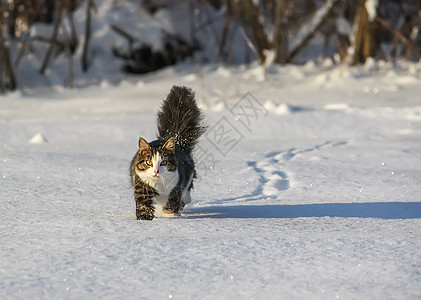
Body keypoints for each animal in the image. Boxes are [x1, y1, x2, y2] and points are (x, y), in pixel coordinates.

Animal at [130, 85, 205, 219]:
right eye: (149, 162)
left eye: (164, 162)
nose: (156, 171)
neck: (158, 184)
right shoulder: (141, 185)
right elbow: (143, 205)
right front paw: (144, 218)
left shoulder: (177, 186)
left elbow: (172, 204)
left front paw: (169, 216)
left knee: (185, 197)